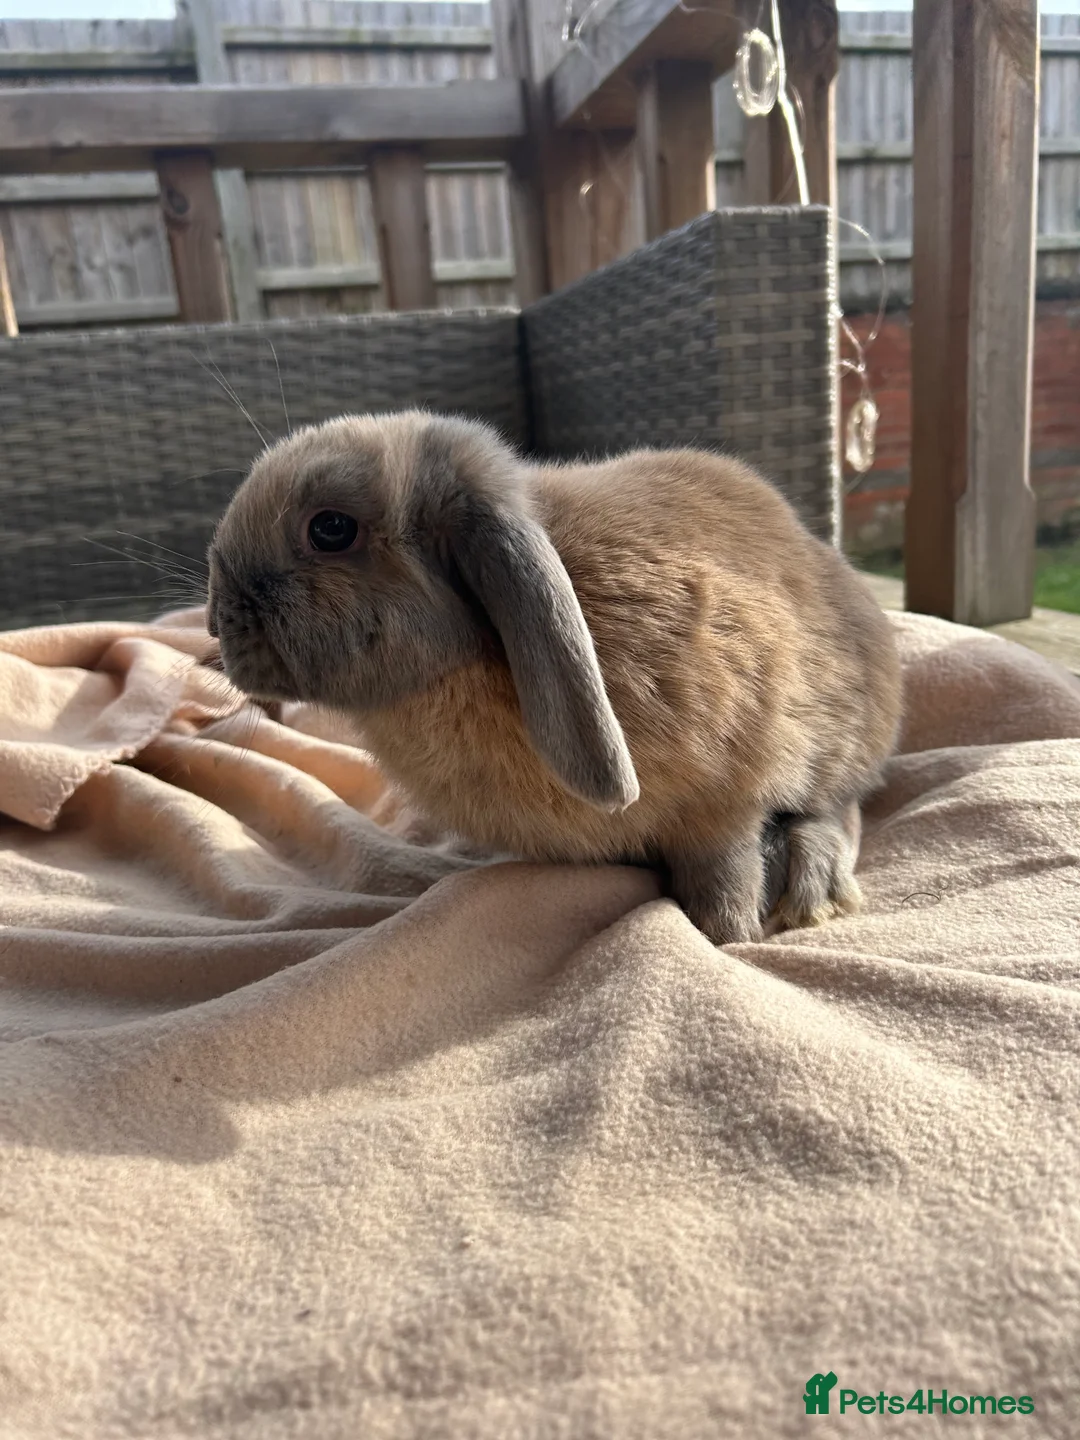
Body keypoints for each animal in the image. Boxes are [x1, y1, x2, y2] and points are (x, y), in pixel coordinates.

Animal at [207, 410, 901, 945]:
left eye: (330, 528)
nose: (215, 621)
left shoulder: (729, 792)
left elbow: (725, 866)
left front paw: (725, 934)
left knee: (844, 807)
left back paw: (811, 886)